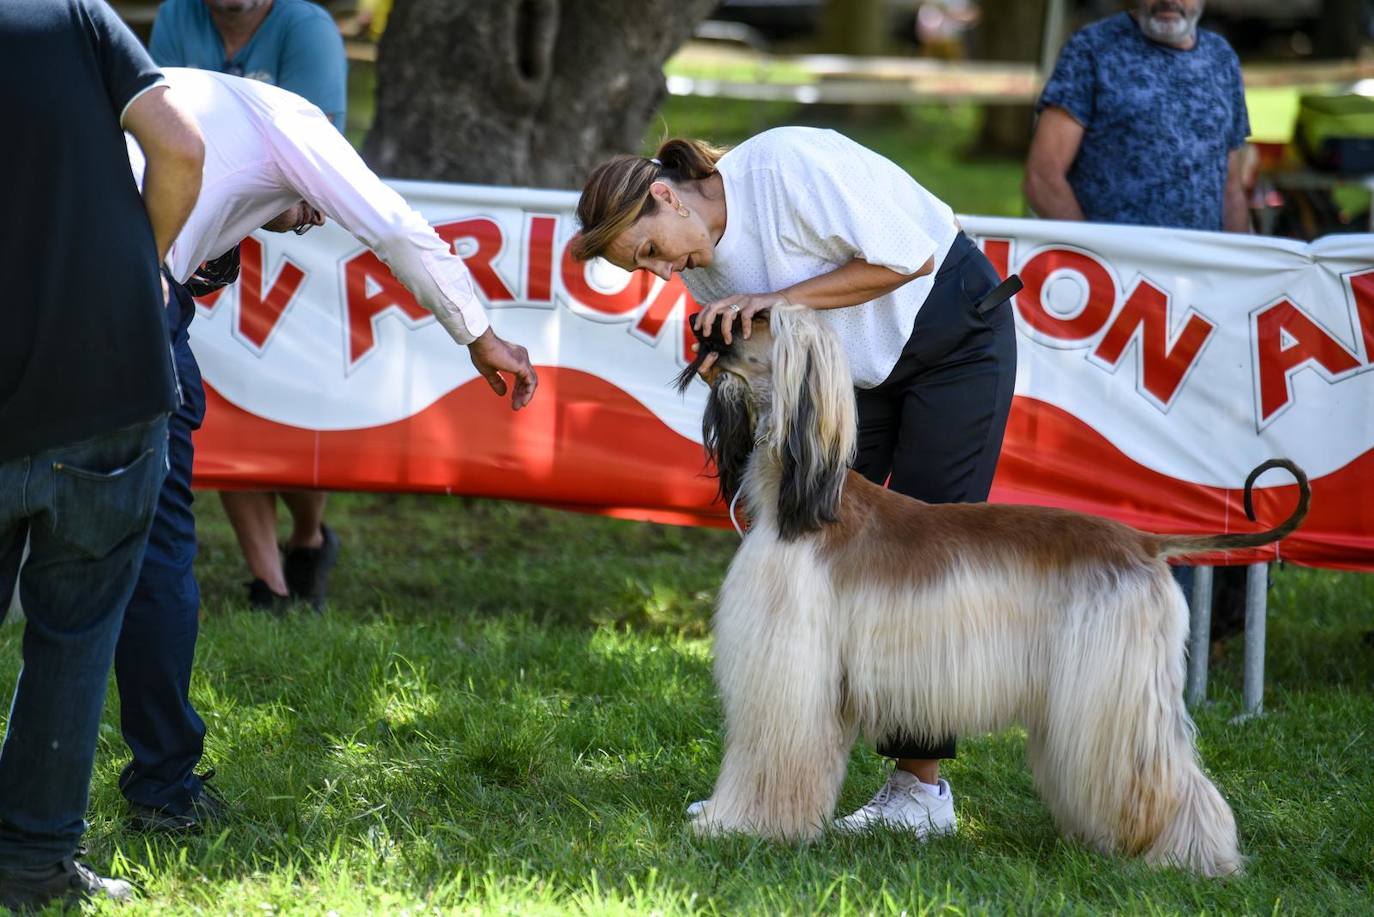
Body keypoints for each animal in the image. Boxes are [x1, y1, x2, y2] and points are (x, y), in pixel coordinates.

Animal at [676, 306, 1308, 874]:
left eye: (758, 320)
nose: (697, 325)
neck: (803, 507)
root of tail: (1143, 541)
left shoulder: (791, 671)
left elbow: (771, 761)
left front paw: (741, 827)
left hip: (1116, 685)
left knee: (1167, 776)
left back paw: (1188, 856)